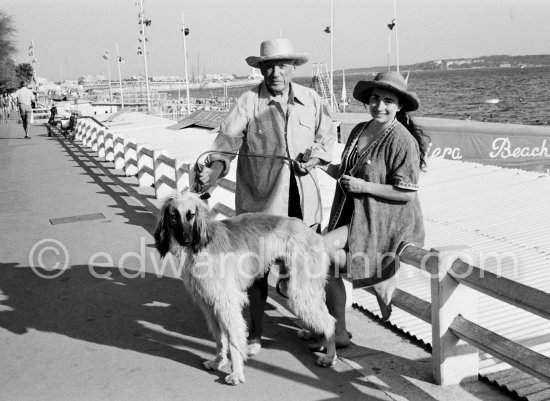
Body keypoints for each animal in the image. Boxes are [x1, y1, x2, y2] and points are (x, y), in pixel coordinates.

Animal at [154, 190, 336, 384]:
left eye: (191, 215)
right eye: (173, 216)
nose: (185, 240)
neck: (203, 244)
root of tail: (315, 235)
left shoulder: (226, 300)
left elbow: (233, 337)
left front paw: (236, 373)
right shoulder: (209, 302)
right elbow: (219, 337)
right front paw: (218, 361)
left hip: (300, 288)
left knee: (330, 321)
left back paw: (329, 356)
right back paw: (321, 344)